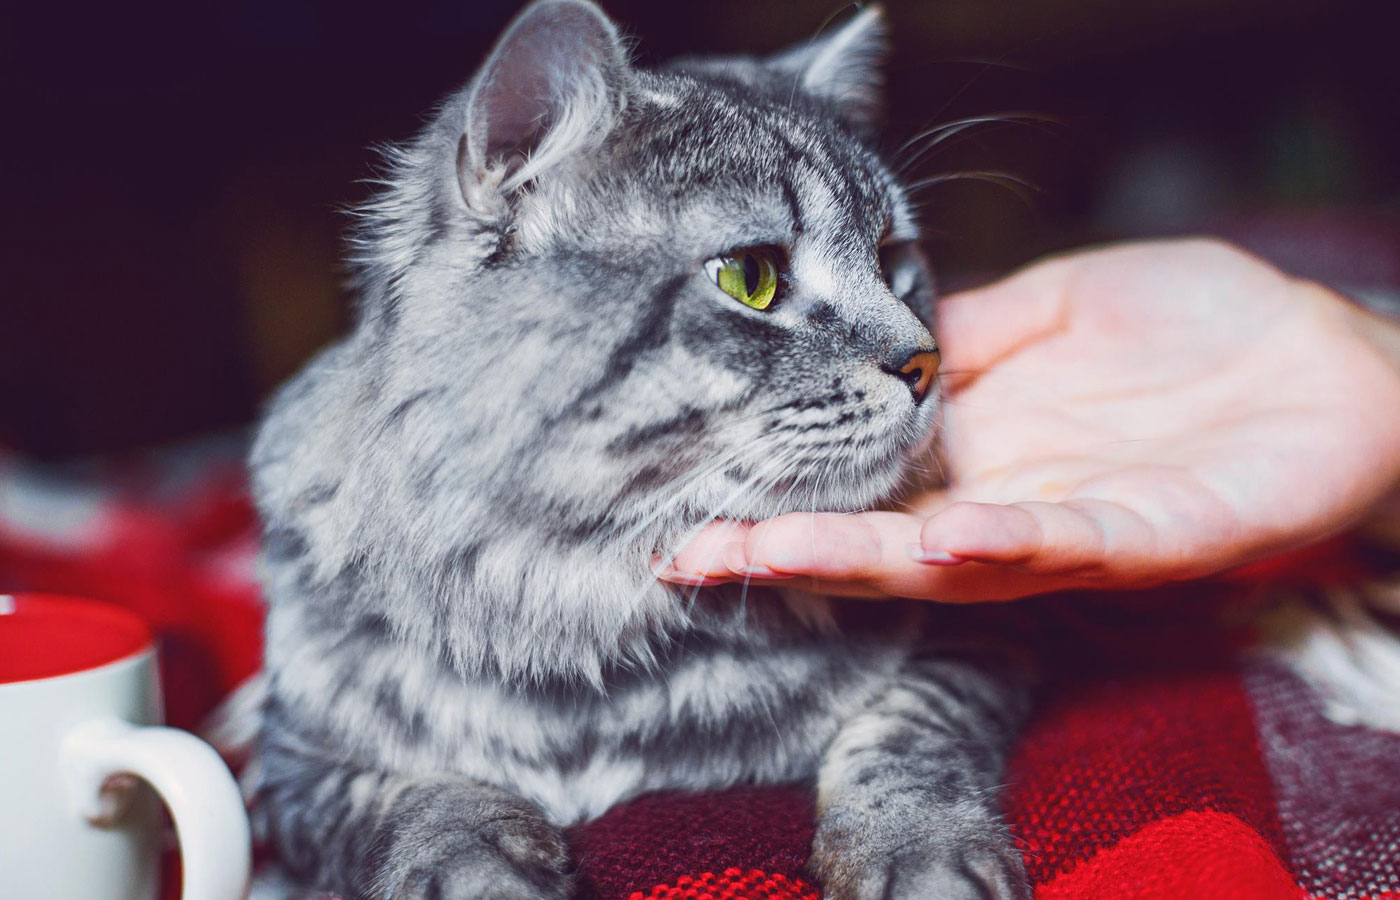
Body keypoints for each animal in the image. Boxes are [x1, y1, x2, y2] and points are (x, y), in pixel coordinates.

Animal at [246, 3, 1030, 895]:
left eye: (894, 260)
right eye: (752, 278)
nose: (925, 361)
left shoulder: (988, 636)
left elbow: (904, 736)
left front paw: (920, 852)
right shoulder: (290, 766)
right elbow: (421, 800)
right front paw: (480, 869)